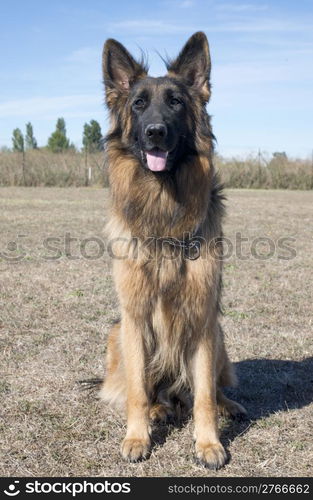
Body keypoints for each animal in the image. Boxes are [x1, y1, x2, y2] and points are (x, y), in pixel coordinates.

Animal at [100, 31, 246, 468]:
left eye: (176, 102)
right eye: (138, 104)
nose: (155, 132)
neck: (164, 211)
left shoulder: (201, 317)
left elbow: (203, 396)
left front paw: (209, 443)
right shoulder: (134, 317)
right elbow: (136, 390)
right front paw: (137, 437)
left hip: (218, 333)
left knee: (207, 389)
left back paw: (226, 405)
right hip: (116, 333)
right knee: (150, 391)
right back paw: (158, 409)